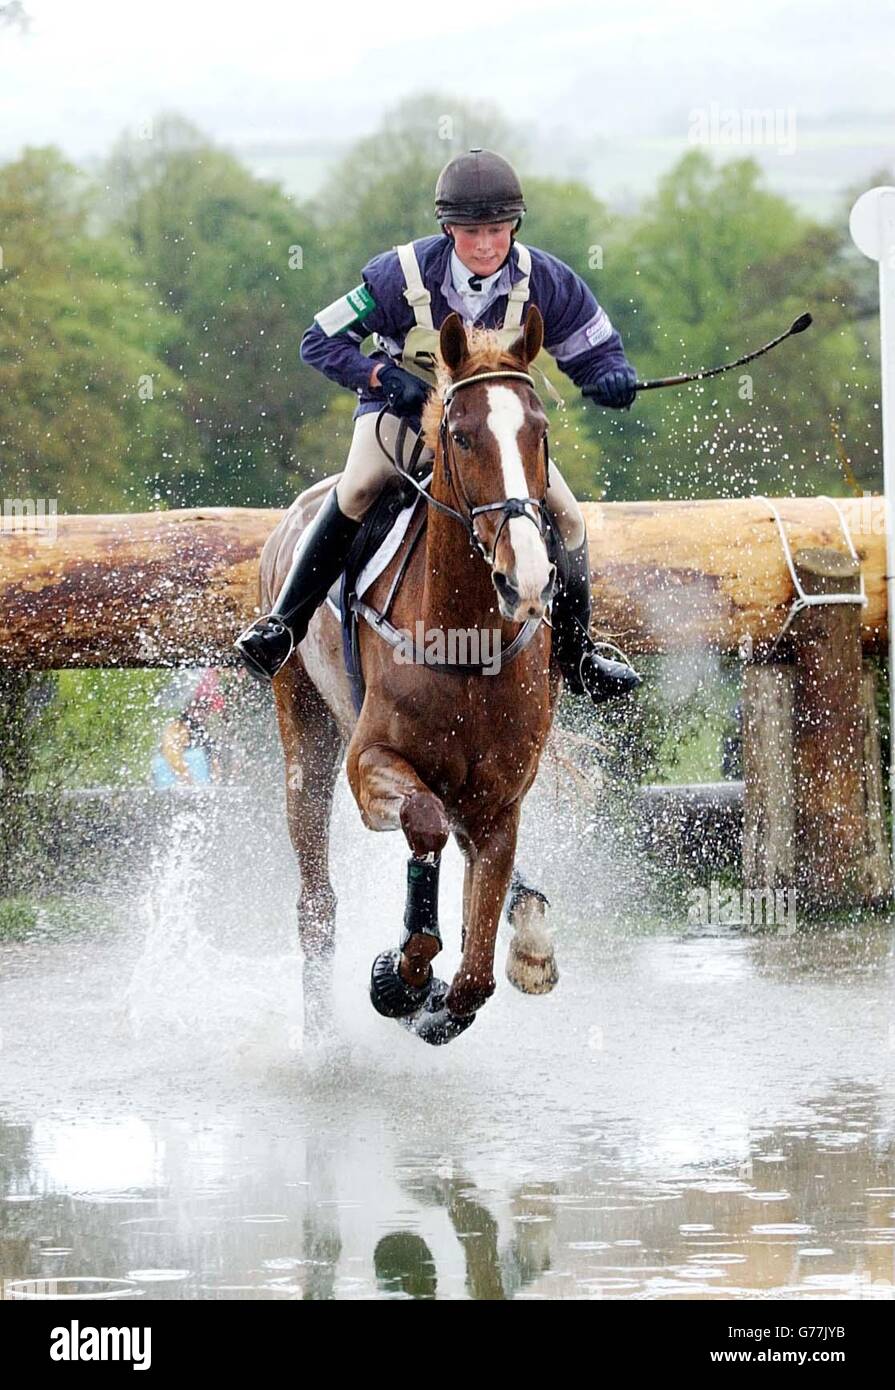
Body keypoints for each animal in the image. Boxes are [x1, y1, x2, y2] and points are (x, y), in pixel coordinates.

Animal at [262, 304, 564, 1045]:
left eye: (539, 432)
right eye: (462, 435)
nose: (527, 579)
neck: (467, 639)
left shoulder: (498, 803)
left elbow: (476, 975)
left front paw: (443, 990)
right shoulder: (371, 762)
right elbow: (422, 823)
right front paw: (400, 976)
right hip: (304, 739)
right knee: (317, 904)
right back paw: (322, 1040)